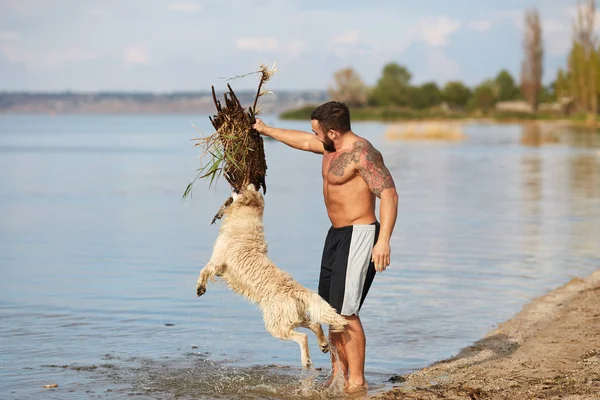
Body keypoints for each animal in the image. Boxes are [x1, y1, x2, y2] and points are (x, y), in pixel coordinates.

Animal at [197, 184, 346, 368]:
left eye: (241, 191)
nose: (235, 188)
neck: (245, 218)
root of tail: (296, 289)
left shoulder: (217, 261)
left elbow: (204, 271)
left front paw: (200, 288)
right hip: (291, 316)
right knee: (315, 323)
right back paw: (323, 344)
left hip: (275, 324)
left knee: (302, 337)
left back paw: (306, 361)